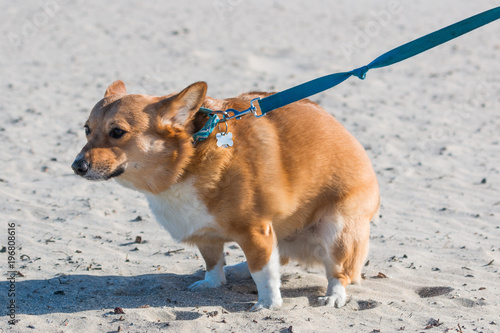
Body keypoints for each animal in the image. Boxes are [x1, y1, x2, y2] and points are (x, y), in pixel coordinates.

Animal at [71, 80, 378, 308]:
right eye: (87, 130)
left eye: (117, 132)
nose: (77, 167)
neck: (186, 163)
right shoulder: (205, 234)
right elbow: (213, 261)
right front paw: (212, 282)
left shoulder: (256, 231)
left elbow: (263, 272)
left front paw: (268, 304)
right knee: (278, 257)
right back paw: (239, 268)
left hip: (337, 230)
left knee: (339, 273)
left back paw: (333, 295)